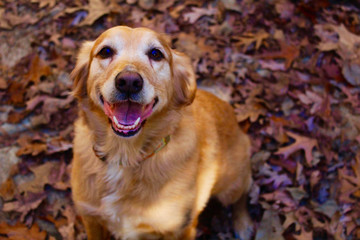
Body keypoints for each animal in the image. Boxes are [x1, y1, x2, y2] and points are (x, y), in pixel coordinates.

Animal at [69, 26, 250, 240]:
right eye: (105, 51)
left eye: (156, 54)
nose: (129, 82)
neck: (124, 156)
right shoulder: (91, 217)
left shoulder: (180, 228)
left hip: (231, 186)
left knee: (243, 193)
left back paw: (243, 224)